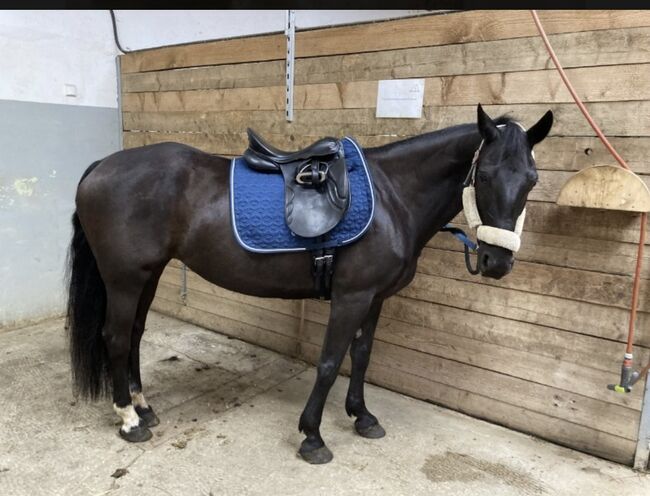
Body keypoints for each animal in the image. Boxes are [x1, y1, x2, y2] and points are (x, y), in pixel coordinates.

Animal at [67, 104, 552, 464]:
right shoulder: (351, 297)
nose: (496, 261)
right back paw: (129, 420)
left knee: (133, 335)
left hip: (148, 274)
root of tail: (102, 166)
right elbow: (330, 361)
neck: (394, 196)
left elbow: (361, 356)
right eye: (484, 175)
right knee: (115, 337)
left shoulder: (375, 298)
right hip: (124, 279)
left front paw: (362, 417)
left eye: (531, 180)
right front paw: (313, 436)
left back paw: (144, 408)